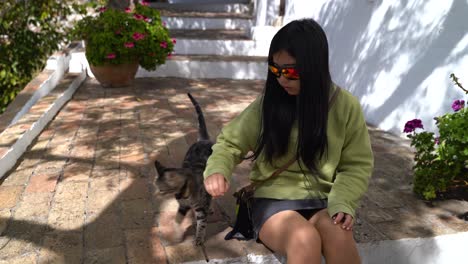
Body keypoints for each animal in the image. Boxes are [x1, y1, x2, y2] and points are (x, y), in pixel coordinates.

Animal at [154, 93, 213, 248]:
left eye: (161, 189)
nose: (156, 194)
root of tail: (203, 139)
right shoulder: (182, 206)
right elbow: (177, 219)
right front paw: (176, 235)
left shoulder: (200, 209)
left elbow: (202, 225)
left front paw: (198, 239)